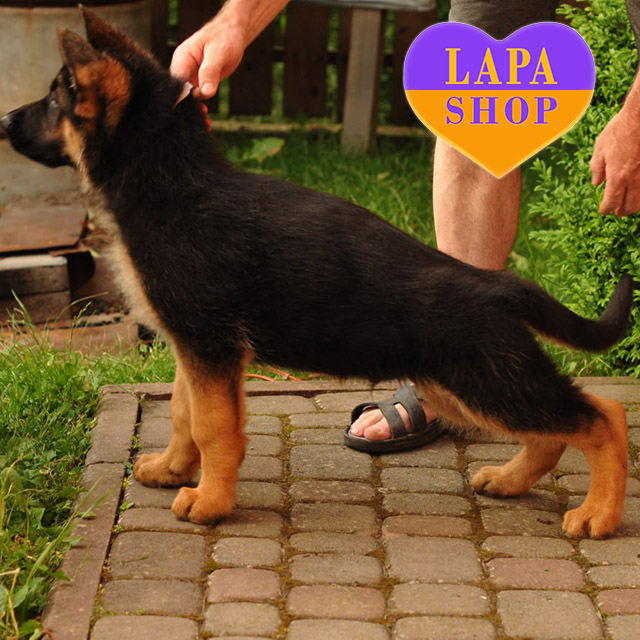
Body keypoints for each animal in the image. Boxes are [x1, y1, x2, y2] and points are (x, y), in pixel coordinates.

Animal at [1, 8, 633, 538]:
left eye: (57, 100)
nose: (4, 120)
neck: (168, 176)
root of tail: (496, 283)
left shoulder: (209, 346)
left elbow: (213, 428)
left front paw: (209, 502)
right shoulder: (194, 347)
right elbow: (183, 414)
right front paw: (173, 469)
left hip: (488, 381)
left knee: (604, 417)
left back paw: (599, 514)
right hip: (468, 386)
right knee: (555, 434)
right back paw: (509, 479)